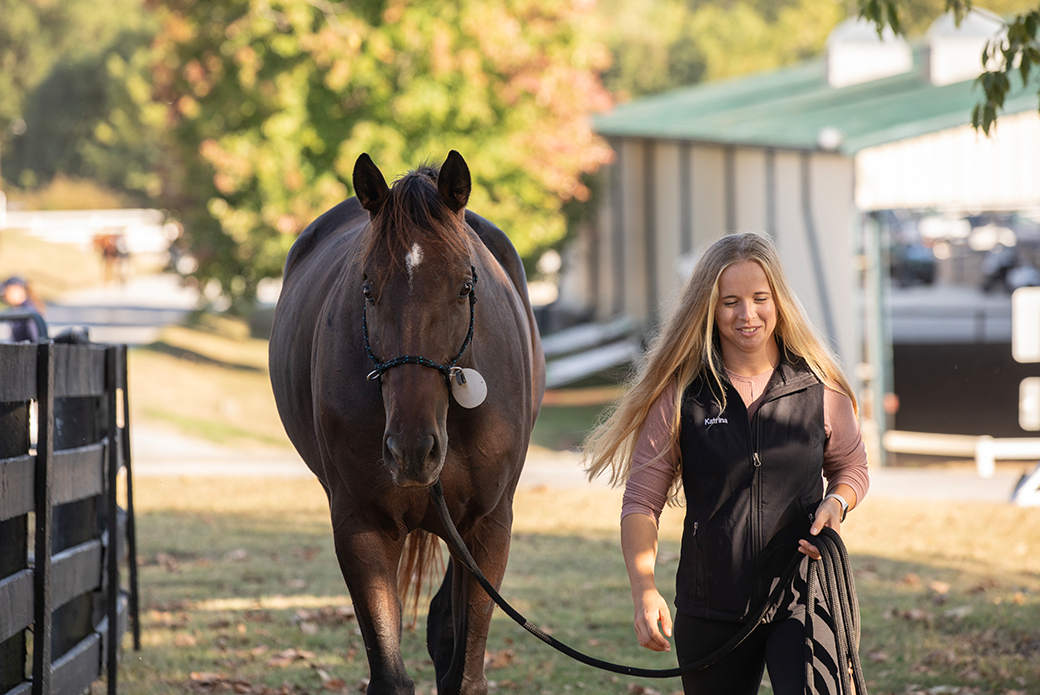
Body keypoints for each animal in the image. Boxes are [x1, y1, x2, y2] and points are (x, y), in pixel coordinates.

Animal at [268, 151, 544, 695]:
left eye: (465, 285)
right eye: (368, 288)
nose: (412, 450)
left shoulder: (487, 527)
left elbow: (466, 673)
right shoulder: (362, 525)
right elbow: (390, 675)